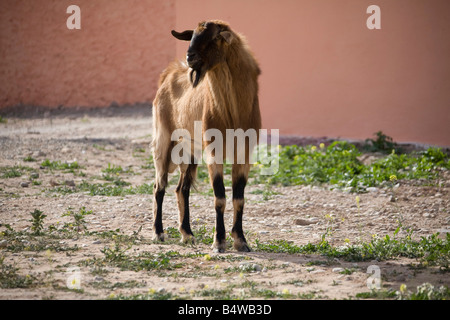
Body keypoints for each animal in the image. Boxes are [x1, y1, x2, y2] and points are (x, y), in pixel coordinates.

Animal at [153, 20, 262, 252]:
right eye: (192, 35)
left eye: (213, 37)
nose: (190, 57)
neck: (233, 112)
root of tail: (168, 75)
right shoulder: (214, 151)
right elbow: (219, 197)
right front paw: (219, 241)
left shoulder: (244, 153)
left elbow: (239, 198)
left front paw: (241, 240)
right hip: (164, 141)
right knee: (160, 186)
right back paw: (158, 233)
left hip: (190, 150)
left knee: (181, 189)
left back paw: (187, 234)